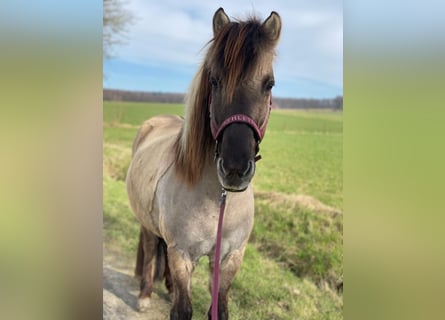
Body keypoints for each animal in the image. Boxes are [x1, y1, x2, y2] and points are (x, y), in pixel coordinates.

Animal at [125, 7, 280, 320]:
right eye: (215, 81)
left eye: (268, 84)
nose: (234, 168)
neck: (217, 200)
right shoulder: (182, 255)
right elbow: (182, 310)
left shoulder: (230, 259)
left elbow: (218, 309)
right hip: (148, 226)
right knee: (150, 249)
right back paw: (146, 294)